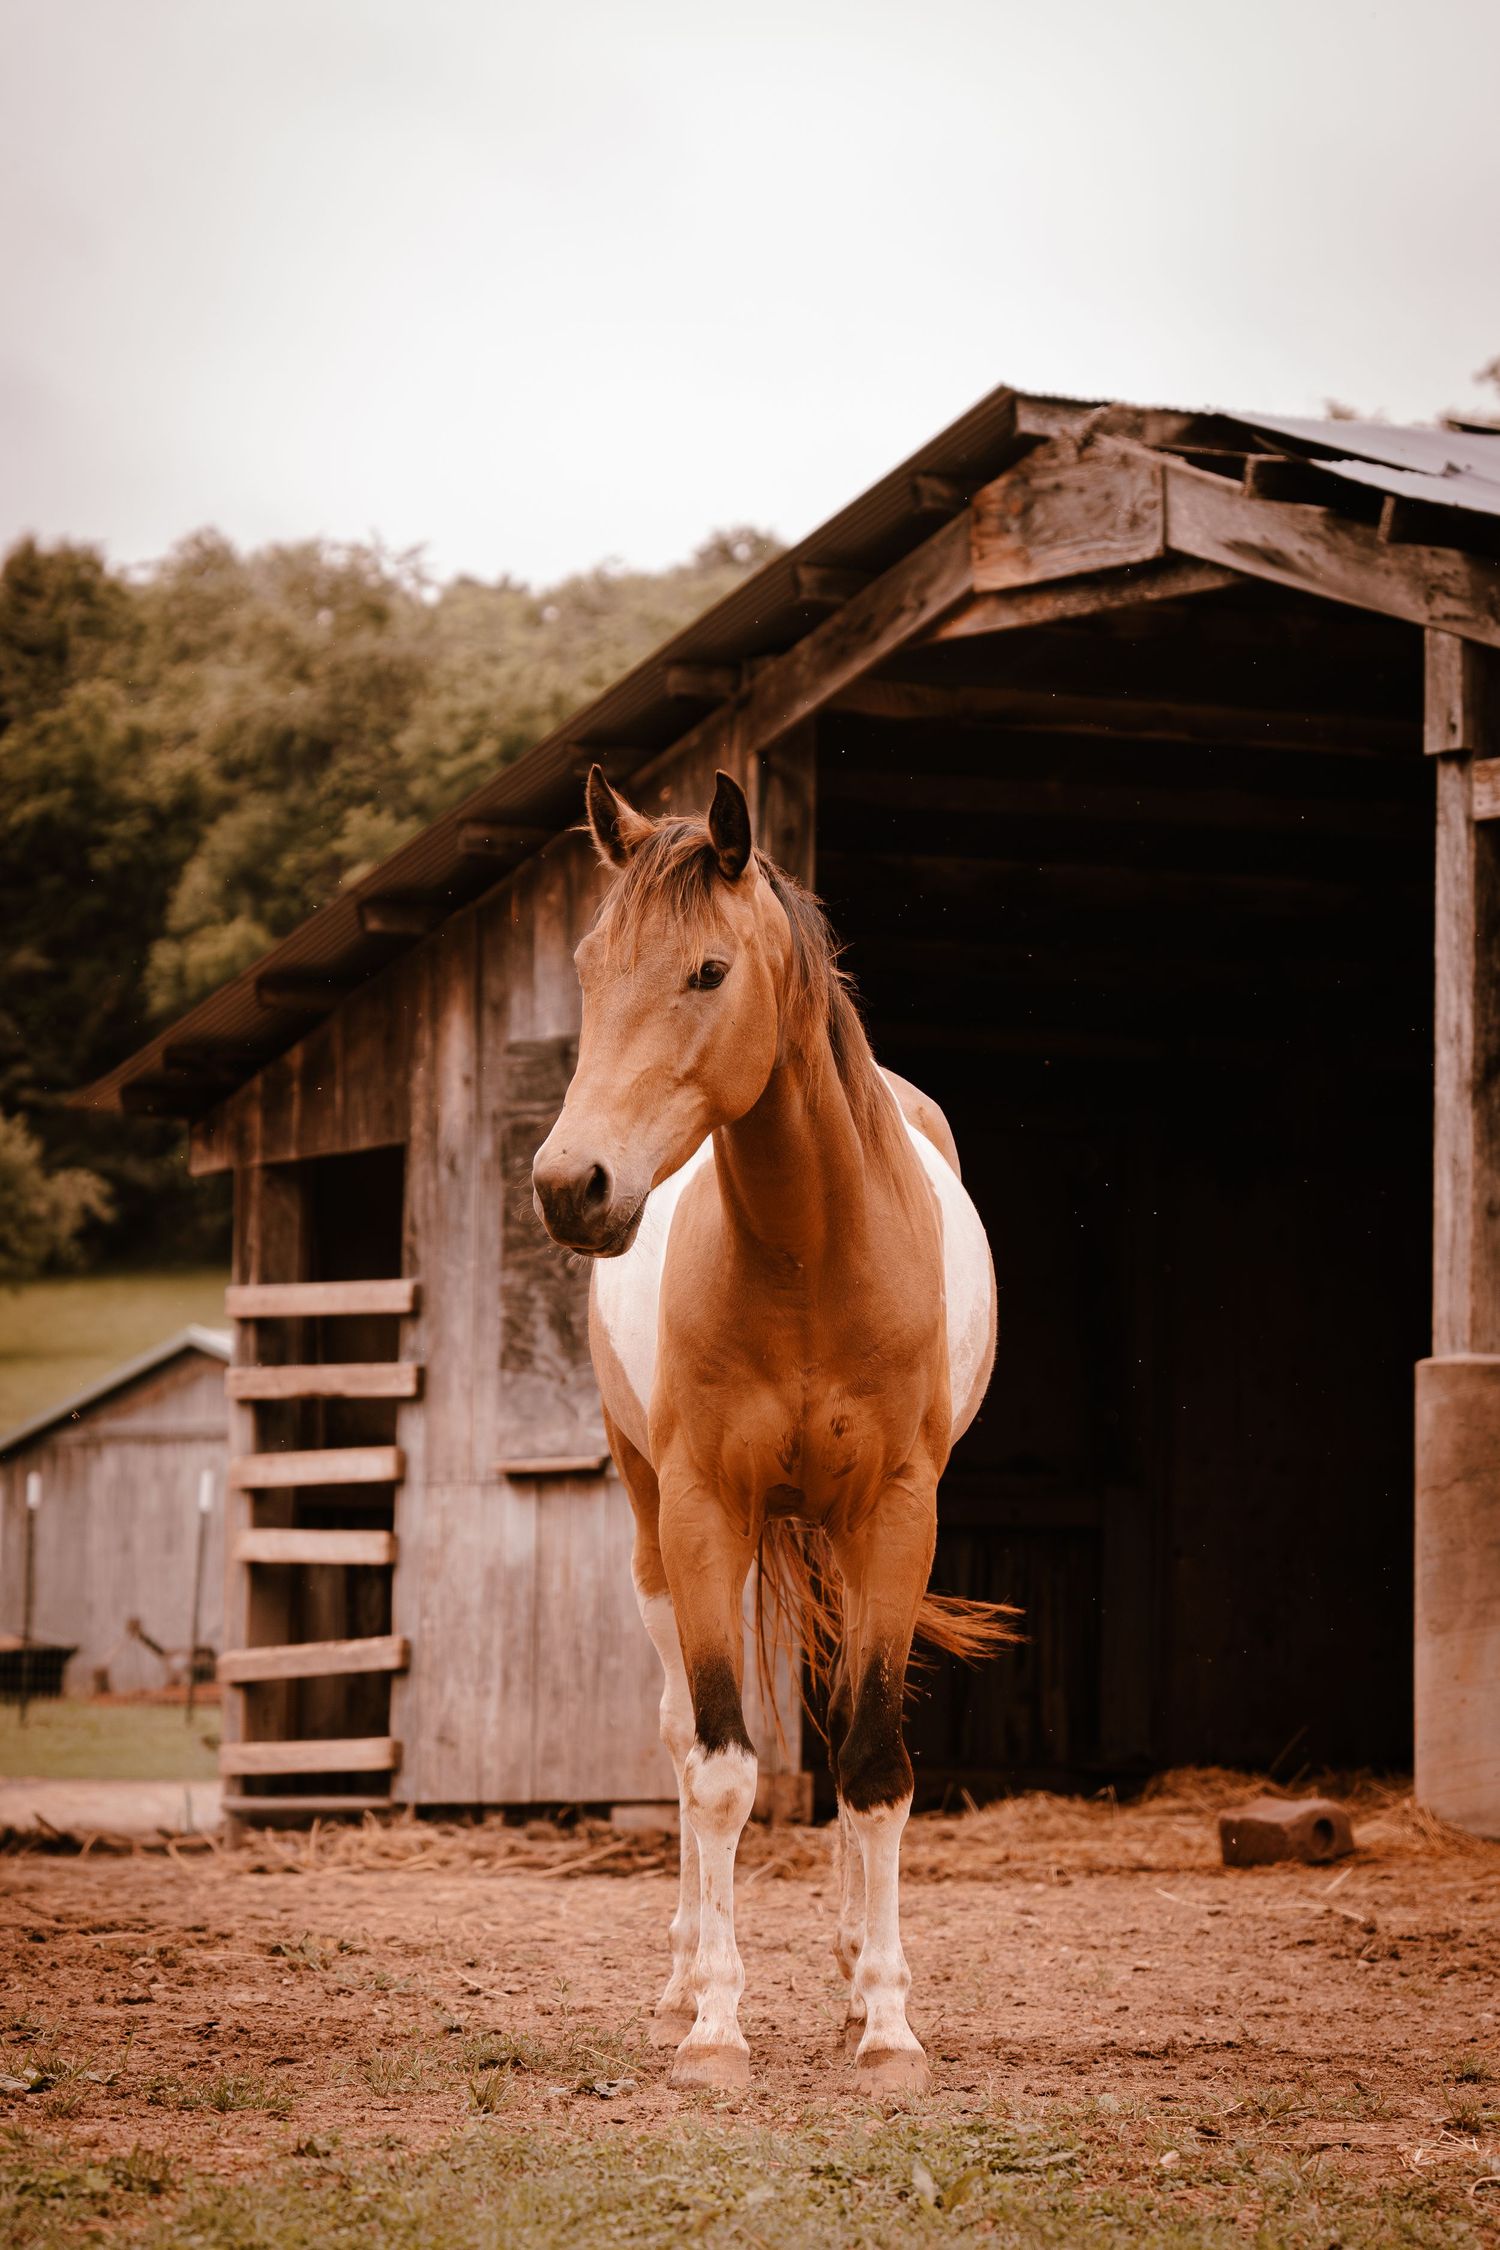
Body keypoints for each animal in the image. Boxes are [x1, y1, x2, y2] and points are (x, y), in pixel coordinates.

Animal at [531, 765, 1010, 2094]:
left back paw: (848, 1979)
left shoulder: (896, 1516)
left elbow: (874, 1766)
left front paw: (887, 2024)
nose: (571, 1186)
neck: (811, 1256)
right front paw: (713, 2024)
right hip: (657, 1527)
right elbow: (719, 1769)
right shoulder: (706, 1514)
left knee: (846, 1728)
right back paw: (682, 1978)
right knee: (681, 1739)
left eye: (707, 971)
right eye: (590, 963)